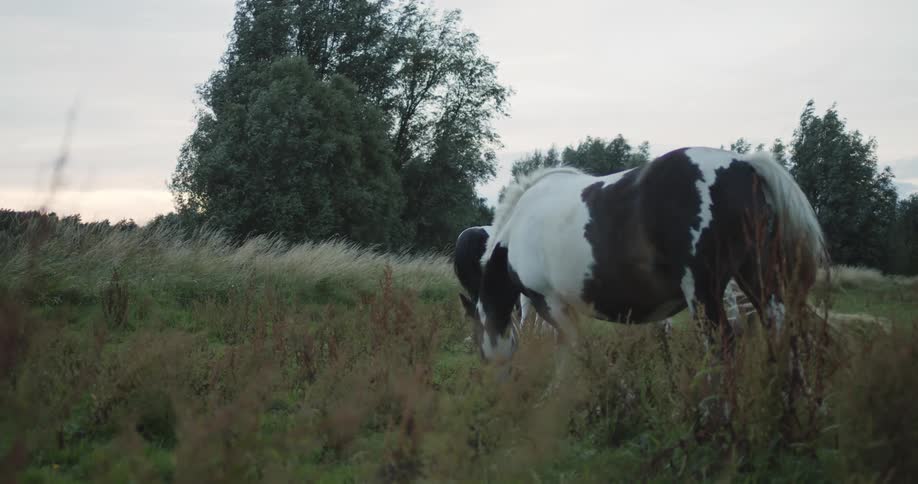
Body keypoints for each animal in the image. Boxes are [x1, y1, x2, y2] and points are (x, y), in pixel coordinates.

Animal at [469, 147, 826, 372]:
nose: (493, 372)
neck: (517, 226)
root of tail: (744, 165)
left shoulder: (549, 301)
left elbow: (573, 350)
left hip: (704, 292)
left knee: (720, 345)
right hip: (759, 277)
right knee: (782, 331)